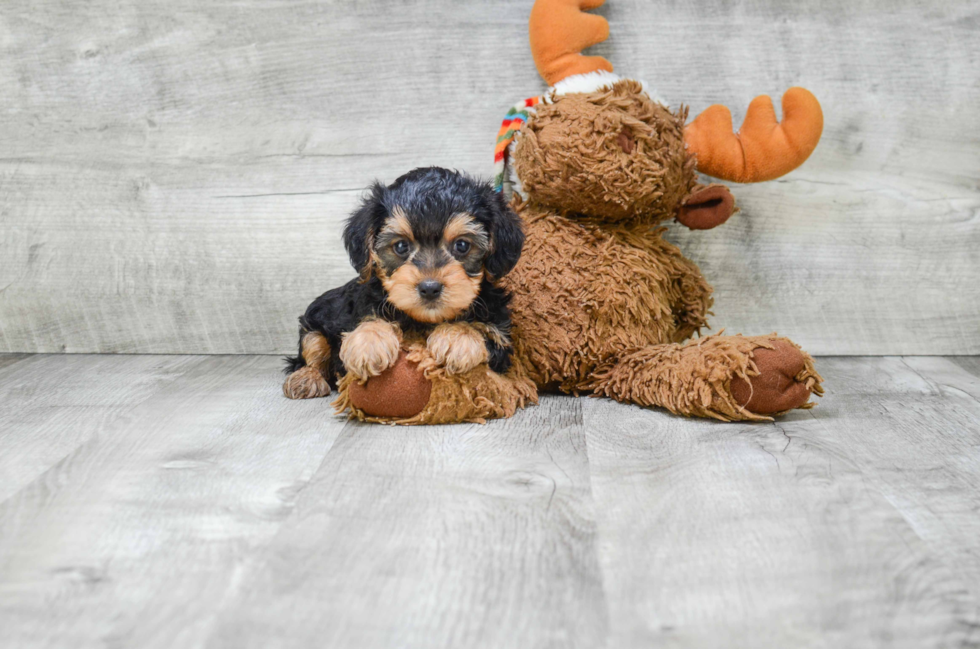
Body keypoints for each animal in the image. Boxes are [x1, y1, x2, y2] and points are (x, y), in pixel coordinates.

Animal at [284, 166, 524, 400]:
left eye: (462, 245)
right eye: (401, 246)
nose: (430, 288)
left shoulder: (501, 336)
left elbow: (487, 331)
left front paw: (457, 336)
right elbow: (369, 317)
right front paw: (369, 341)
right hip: (313, 322)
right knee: (312, 349)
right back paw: (306, 378)